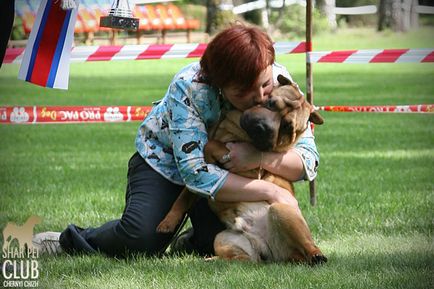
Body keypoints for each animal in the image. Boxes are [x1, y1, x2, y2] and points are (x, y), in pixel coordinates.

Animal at [158, 75, 328, 266]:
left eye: (287, 127)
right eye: (270, 103)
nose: (262, 128)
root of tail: (274, 255)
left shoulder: (252, 171)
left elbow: (212, 146)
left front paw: (219, 154)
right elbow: (183, 197)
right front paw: (167, 222)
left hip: (281, 211)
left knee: (309, 246)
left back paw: (317, 255)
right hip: (223, 238)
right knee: (244, 258)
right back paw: (213, 259)